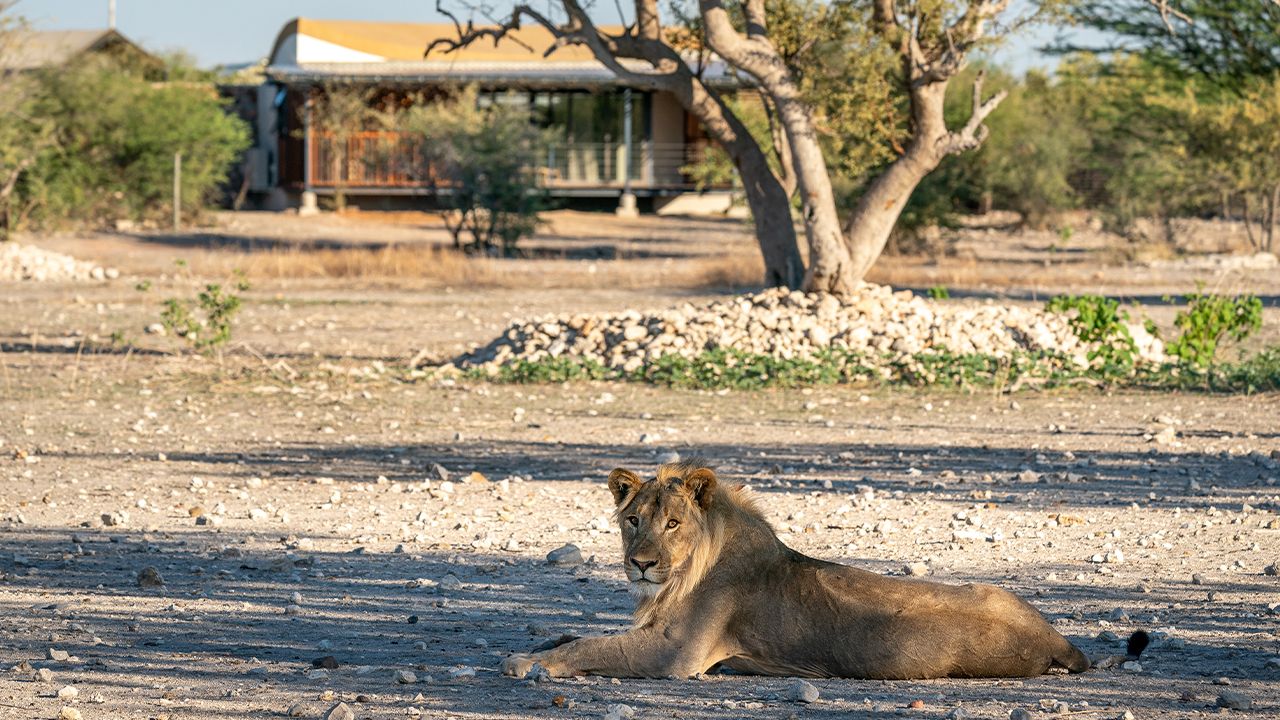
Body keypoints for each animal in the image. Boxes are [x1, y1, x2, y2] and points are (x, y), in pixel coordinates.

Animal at [499, 458, 1141, 676]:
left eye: (673, 523)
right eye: (634, 520)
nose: (640, 563)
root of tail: (1058, 641)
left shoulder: (673, 655)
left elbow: (593, 645)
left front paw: (525, 662)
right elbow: (576, 635)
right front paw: (540, 647)